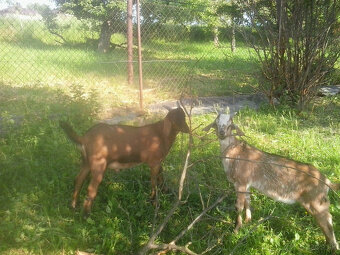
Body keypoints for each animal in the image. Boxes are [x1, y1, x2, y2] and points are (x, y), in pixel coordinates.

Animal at [60, 106, 189, 214]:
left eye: (184, 117)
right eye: (178, 119)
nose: (187, 129)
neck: (161, 134)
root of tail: (84, 138)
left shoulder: (159, 162)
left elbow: (161, 176)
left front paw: (166, 191)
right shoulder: (154, 162)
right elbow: (154, 182)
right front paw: (154, 202)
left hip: (86, 162)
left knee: (78, 180)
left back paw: (73, 206)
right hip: (98, 164)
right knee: (91, 188)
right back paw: (86, 215)